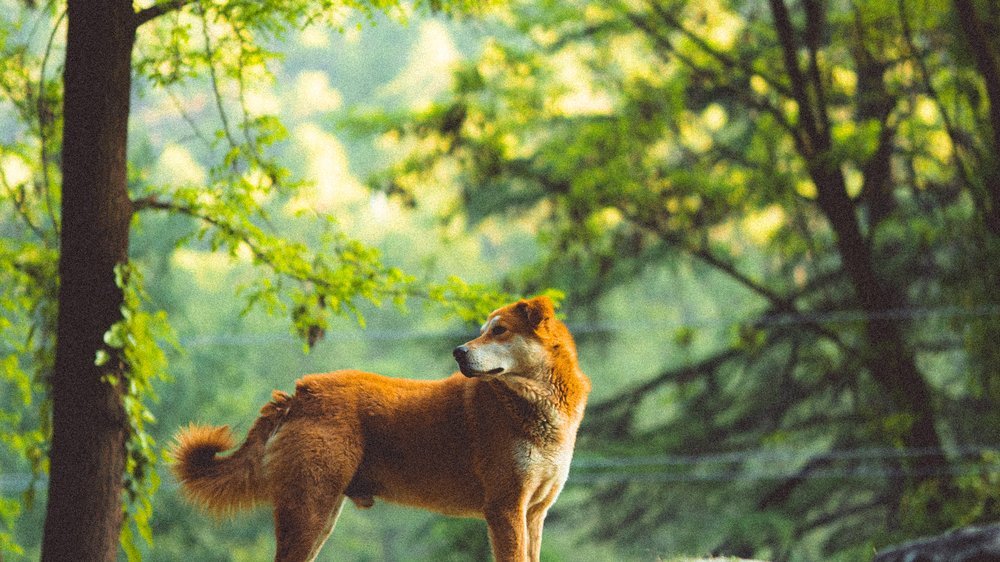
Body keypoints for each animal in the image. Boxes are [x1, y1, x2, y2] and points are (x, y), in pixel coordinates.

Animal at [171, 296, 588, 556]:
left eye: (499, 330)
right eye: (485, 329)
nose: (458, 352)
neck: (531, 404)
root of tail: (301, 392)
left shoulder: (534, 513)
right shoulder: (504, 508)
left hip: (320, 513)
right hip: (309, 509)